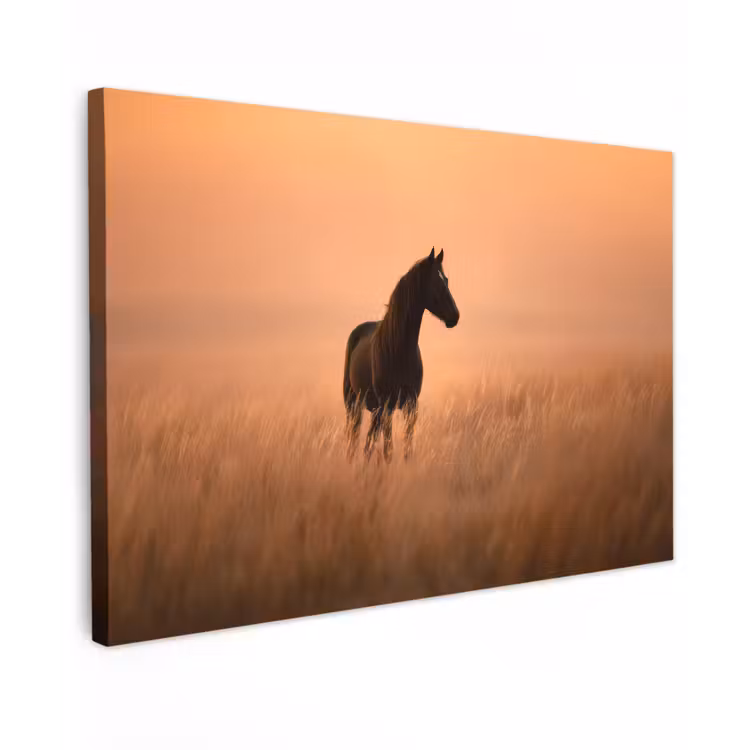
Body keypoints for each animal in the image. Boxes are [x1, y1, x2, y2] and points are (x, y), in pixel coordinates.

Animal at [343, 247, 460, 462]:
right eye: (436, 282)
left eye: (446, 279)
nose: (455, 316)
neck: (398, 350)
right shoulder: (387, 406)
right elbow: (388, 449)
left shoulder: (411, 405)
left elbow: (407, 447)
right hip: (354, 404)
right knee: (355, 438)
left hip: (375, 409)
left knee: (368, 442)